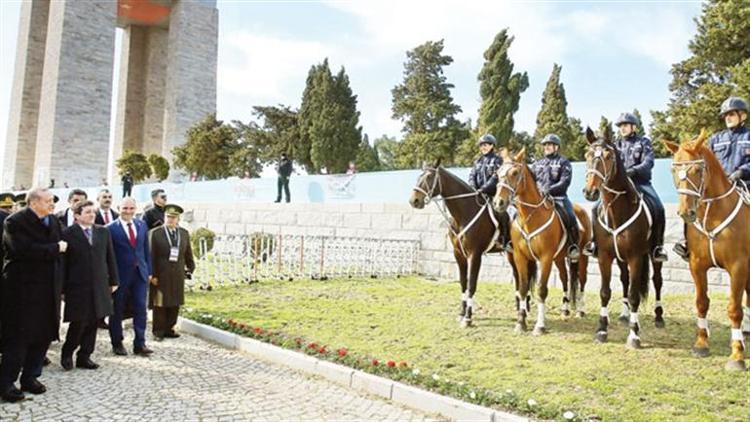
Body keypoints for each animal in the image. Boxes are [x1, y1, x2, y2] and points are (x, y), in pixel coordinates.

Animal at [408, 162, 520, 326]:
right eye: (419, 176)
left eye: (429, 177)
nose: (414, 201)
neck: (465, 212)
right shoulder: (458, 254)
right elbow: (463, 283)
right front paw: (462, 312)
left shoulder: (475, 255)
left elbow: (471, 284)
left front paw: (468, 317)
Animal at [494, 148, 592, 336]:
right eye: (498, 173)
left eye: (515, 173)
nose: (498, 202)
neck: (530, 217)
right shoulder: (520, 257)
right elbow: (523, 288)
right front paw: (520, 323)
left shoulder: (545, 258)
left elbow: (541, 290)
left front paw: (539, 326)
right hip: (559, 258)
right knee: (565, 278)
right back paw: (565, 310)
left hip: (582, 257)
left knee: (582, 280)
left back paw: (581, 310)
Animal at [584, 126, 668, 350]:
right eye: (587, 155)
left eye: (608, 156)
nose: (590, 192)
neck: (617, 212)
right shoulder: (605, 256)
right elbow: (605, 292)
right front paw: (602, 330)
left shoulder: (636, 257)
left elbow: (634, 295)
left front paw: (634, 335)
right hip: (620, 259)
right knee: (624, 279)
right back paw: (623, 314)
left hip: (653, 254)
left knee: (657, 280)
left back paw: (658, 317)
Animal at [668, 128, 748, 370]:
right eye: (674, 169)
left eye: (697, 169)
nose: (686, 213)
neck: (713, 214)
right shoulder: (697, 265)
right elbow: (701, 303)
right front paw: (701, 343)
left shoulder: (739, 267)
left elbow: (734, 309)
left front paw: (737, 355)